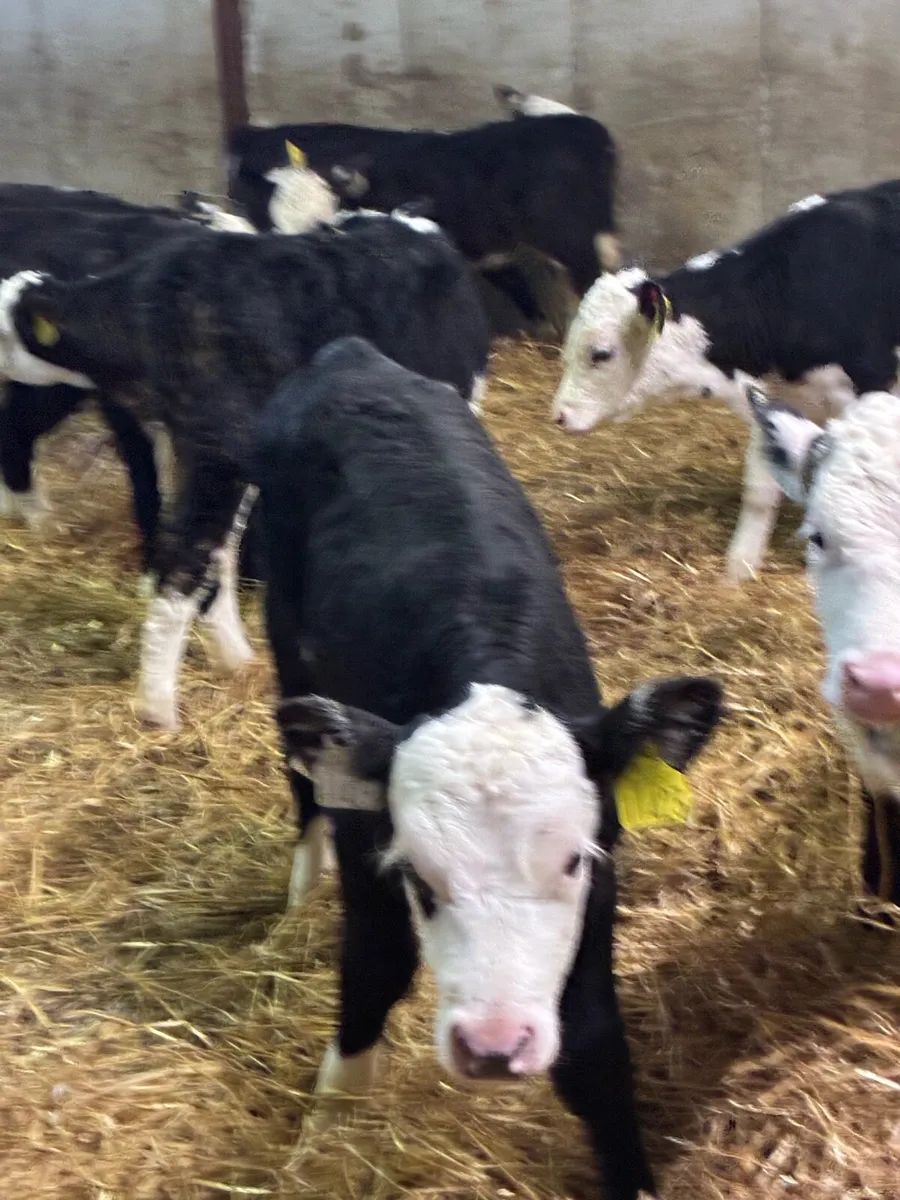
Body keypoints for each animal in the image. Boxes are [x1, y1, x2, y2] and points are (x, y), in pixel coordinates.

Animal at [0, 212, 491, 730]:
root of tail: (406, 222)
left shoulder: (219, 451)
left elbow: (195, 557)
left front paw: (163, 703)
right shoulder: (196, 451)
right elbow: (204, 556)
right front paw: (203, 676)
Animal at [251, 335, 723, 1199]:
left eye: (573, 860)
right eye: (418, 876)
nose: (495, 1047)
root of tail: (349, 353)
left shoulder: (598, 895)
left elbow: (595, 1048)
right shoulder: (369, 842)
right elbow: (374, 965)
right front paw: (327, 1132)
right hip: (284, 637)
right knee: (300, 780)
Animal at [551, 180, 900, 582]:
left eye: (601, 353)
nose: (559, 415)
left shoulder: (872, 385)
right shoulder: (773, 397)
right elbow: (760, 490)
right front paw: (739, 570)